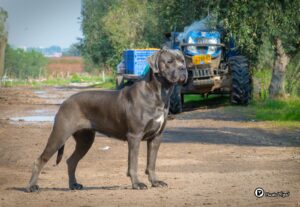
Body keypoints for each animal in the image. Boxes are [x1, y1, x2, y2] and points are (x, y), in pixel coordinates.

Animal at [25, 49, 186, 192]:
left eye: (183, 61)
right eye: (169, 61)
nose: (183, 69)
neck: (159, 92)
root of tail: (65, 101)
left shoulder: (156, 137)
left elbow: (151, 163)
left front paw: (155, 182)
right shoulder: (135, 136)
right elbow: (133, 163)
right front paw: (137, 184)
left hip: (85, 140)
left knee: (71, 161)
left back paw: (74, 185)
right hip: (60, 134)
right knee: (40, 160)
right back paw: (31, 187)